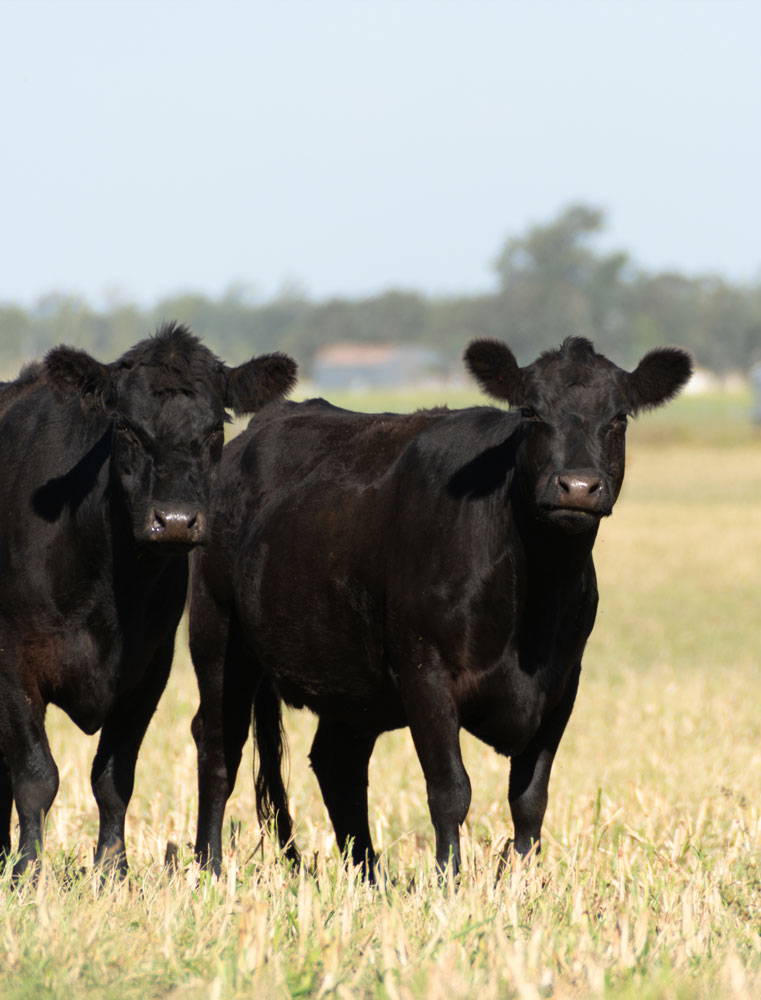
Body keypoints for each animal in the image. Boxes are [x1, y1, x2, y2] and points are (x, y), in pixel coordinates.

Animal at [0, 322, 297, 878]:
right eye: (128, 429)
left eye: (214, 432)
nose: (176, 521)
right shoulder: (13, 664)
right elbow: (34, 777)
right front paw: (28, 872)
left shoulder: (148, 667)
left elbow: (113, 778)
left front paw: (112, 871)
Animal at [189, 336, 691, 879]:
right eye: (531, 413)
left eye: (619, 418)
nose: (578, 487)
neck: (536, 599)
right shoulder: (424, 670)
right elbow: (451, 789)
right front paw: (450, 880)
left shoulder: (563, 683)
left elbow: (530, 798)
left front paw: (521, 880)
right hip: (217, 633)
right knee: (218, 747)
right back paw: (208, 866)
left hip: (351, 677)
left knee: (337, 762)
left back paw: (370, 875)